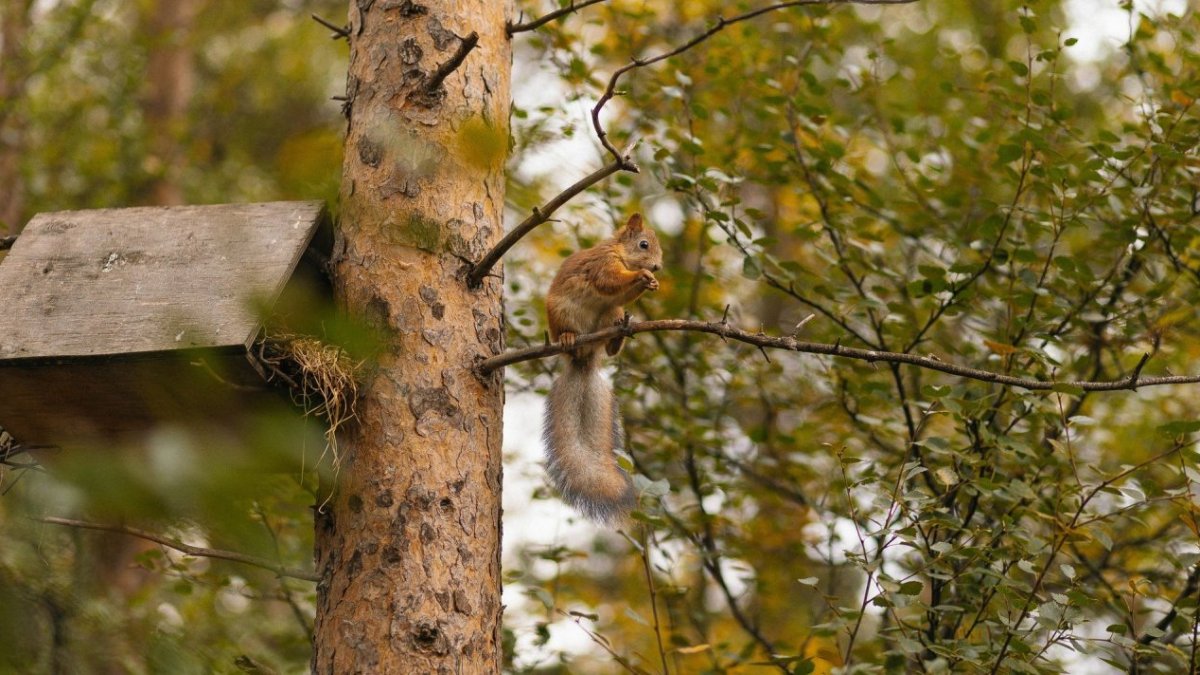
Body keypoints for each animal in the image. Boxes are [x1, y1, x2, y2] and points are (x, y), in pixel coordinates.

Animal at [543, 213, 663, 524]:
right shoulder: (602, 264)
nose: (657, 267)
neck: (620, 252)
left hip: (611, 312)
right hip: (563, 313)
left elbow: (621, 292)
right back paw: (568, 338)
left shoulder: (619, 297)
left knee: (611, 337)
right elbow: (609, 281)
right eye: (644, 244)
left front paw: (651, 281)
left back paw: (618, 336)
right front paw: (642, 276)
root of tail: (585, 359)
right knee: (569, 335)